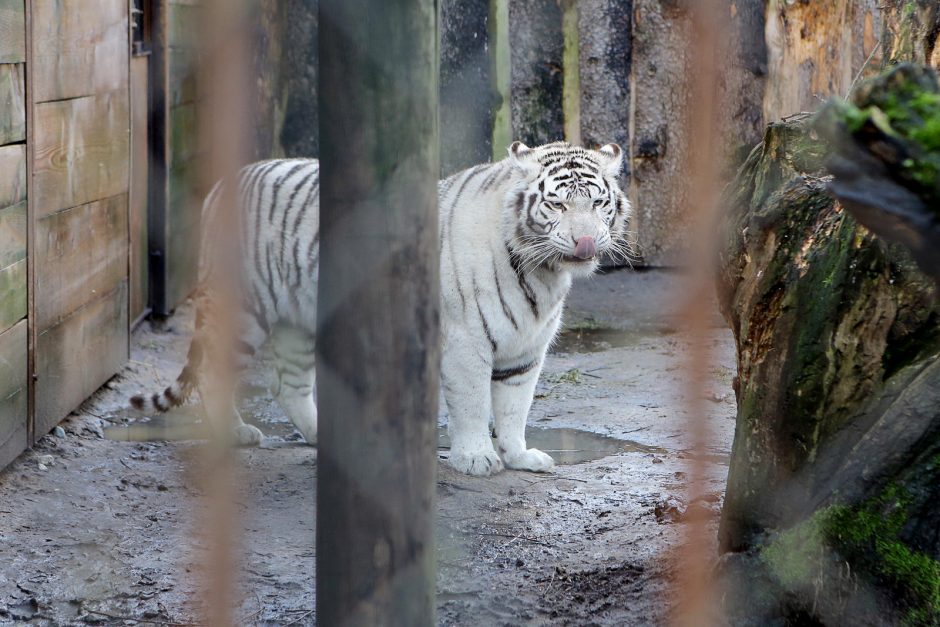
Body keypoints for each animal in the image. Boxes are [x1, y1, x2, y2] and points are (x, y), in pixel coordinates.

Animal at [130, 141, 632, 476]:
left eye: (598, 203)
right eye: (557, 204)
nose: (586, 243)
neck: (542, 273)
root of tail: (221, 186)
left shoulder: (527, 348)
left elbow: (514, 406)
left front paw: (519, 455)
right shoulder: (466, 341)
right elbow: (473, 404)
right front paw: (476, 457)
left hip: (300, 320)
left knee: (287, 385)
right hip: (245, 311)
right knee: (214, 374)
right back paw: (234, 434)